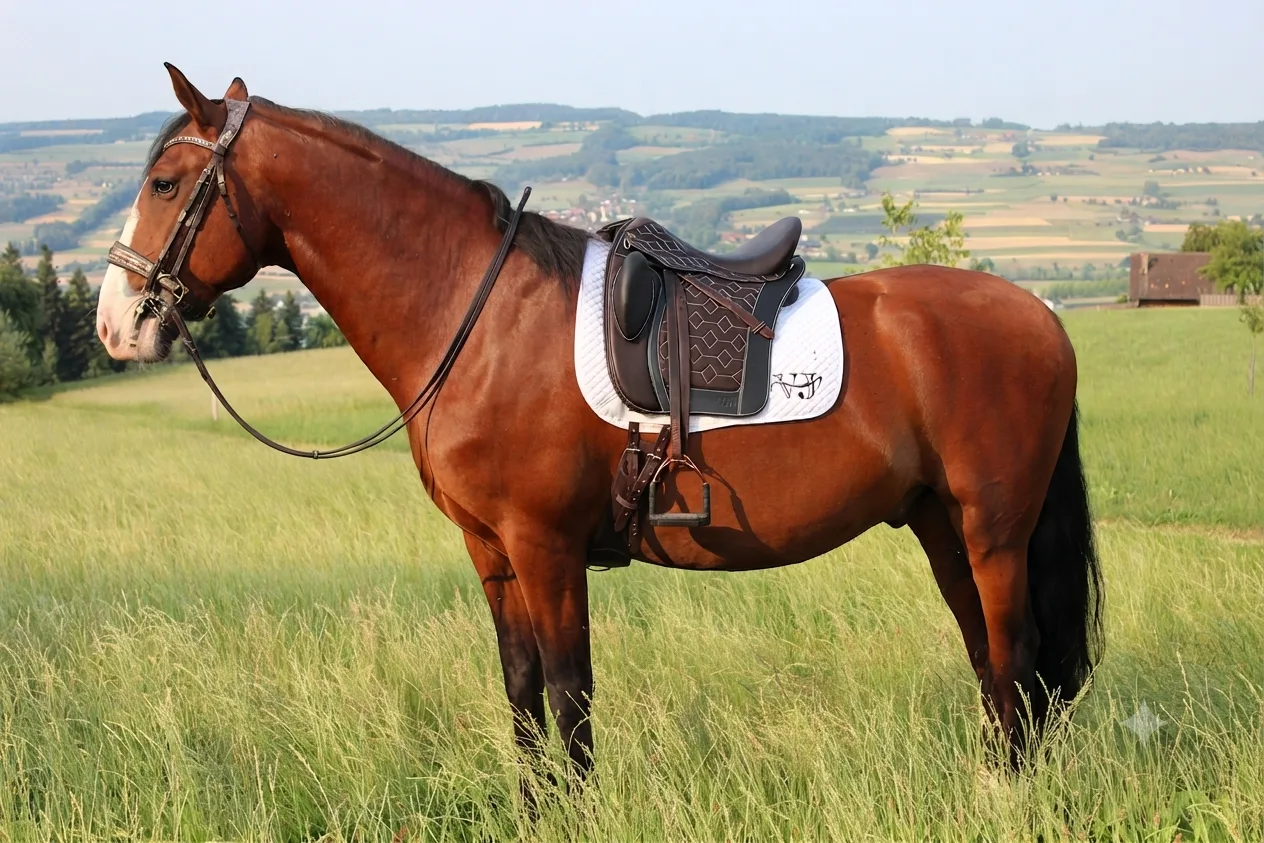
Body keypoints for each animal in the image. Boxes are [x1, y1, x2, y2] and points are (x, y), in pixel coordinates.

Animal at [96, 65, 1103, 787]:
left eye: (167, 181)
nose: (115, 325)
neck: (478, 315)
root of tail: (1043, 317)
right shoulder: (492, 552)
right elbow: (522, 693)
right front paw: (533, 807)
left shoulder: (547, 547)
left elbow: (569, 693)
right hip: (941, 524)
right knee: (992, 662)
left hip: (993, 531)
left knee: (1015, 655)